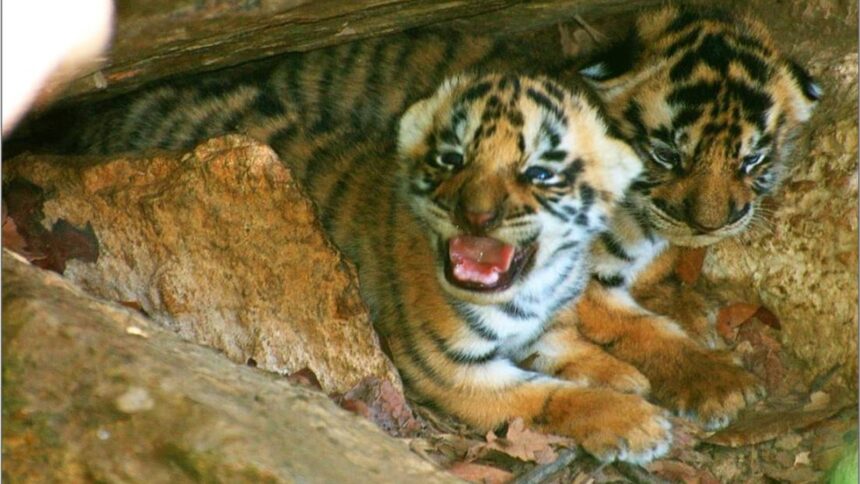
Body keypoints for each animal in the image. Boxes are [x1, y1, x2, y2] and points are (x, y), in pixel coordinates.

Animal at [268, 73, 669, 463]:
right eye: (451, 159)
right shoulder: (455, 369)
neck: (535, 287)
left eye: (539, 173)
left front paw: (623, 375)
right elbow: (546, 395)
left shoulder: (550, 324)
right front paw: (636, 422)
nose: (476, 215)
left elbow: (570, 345)